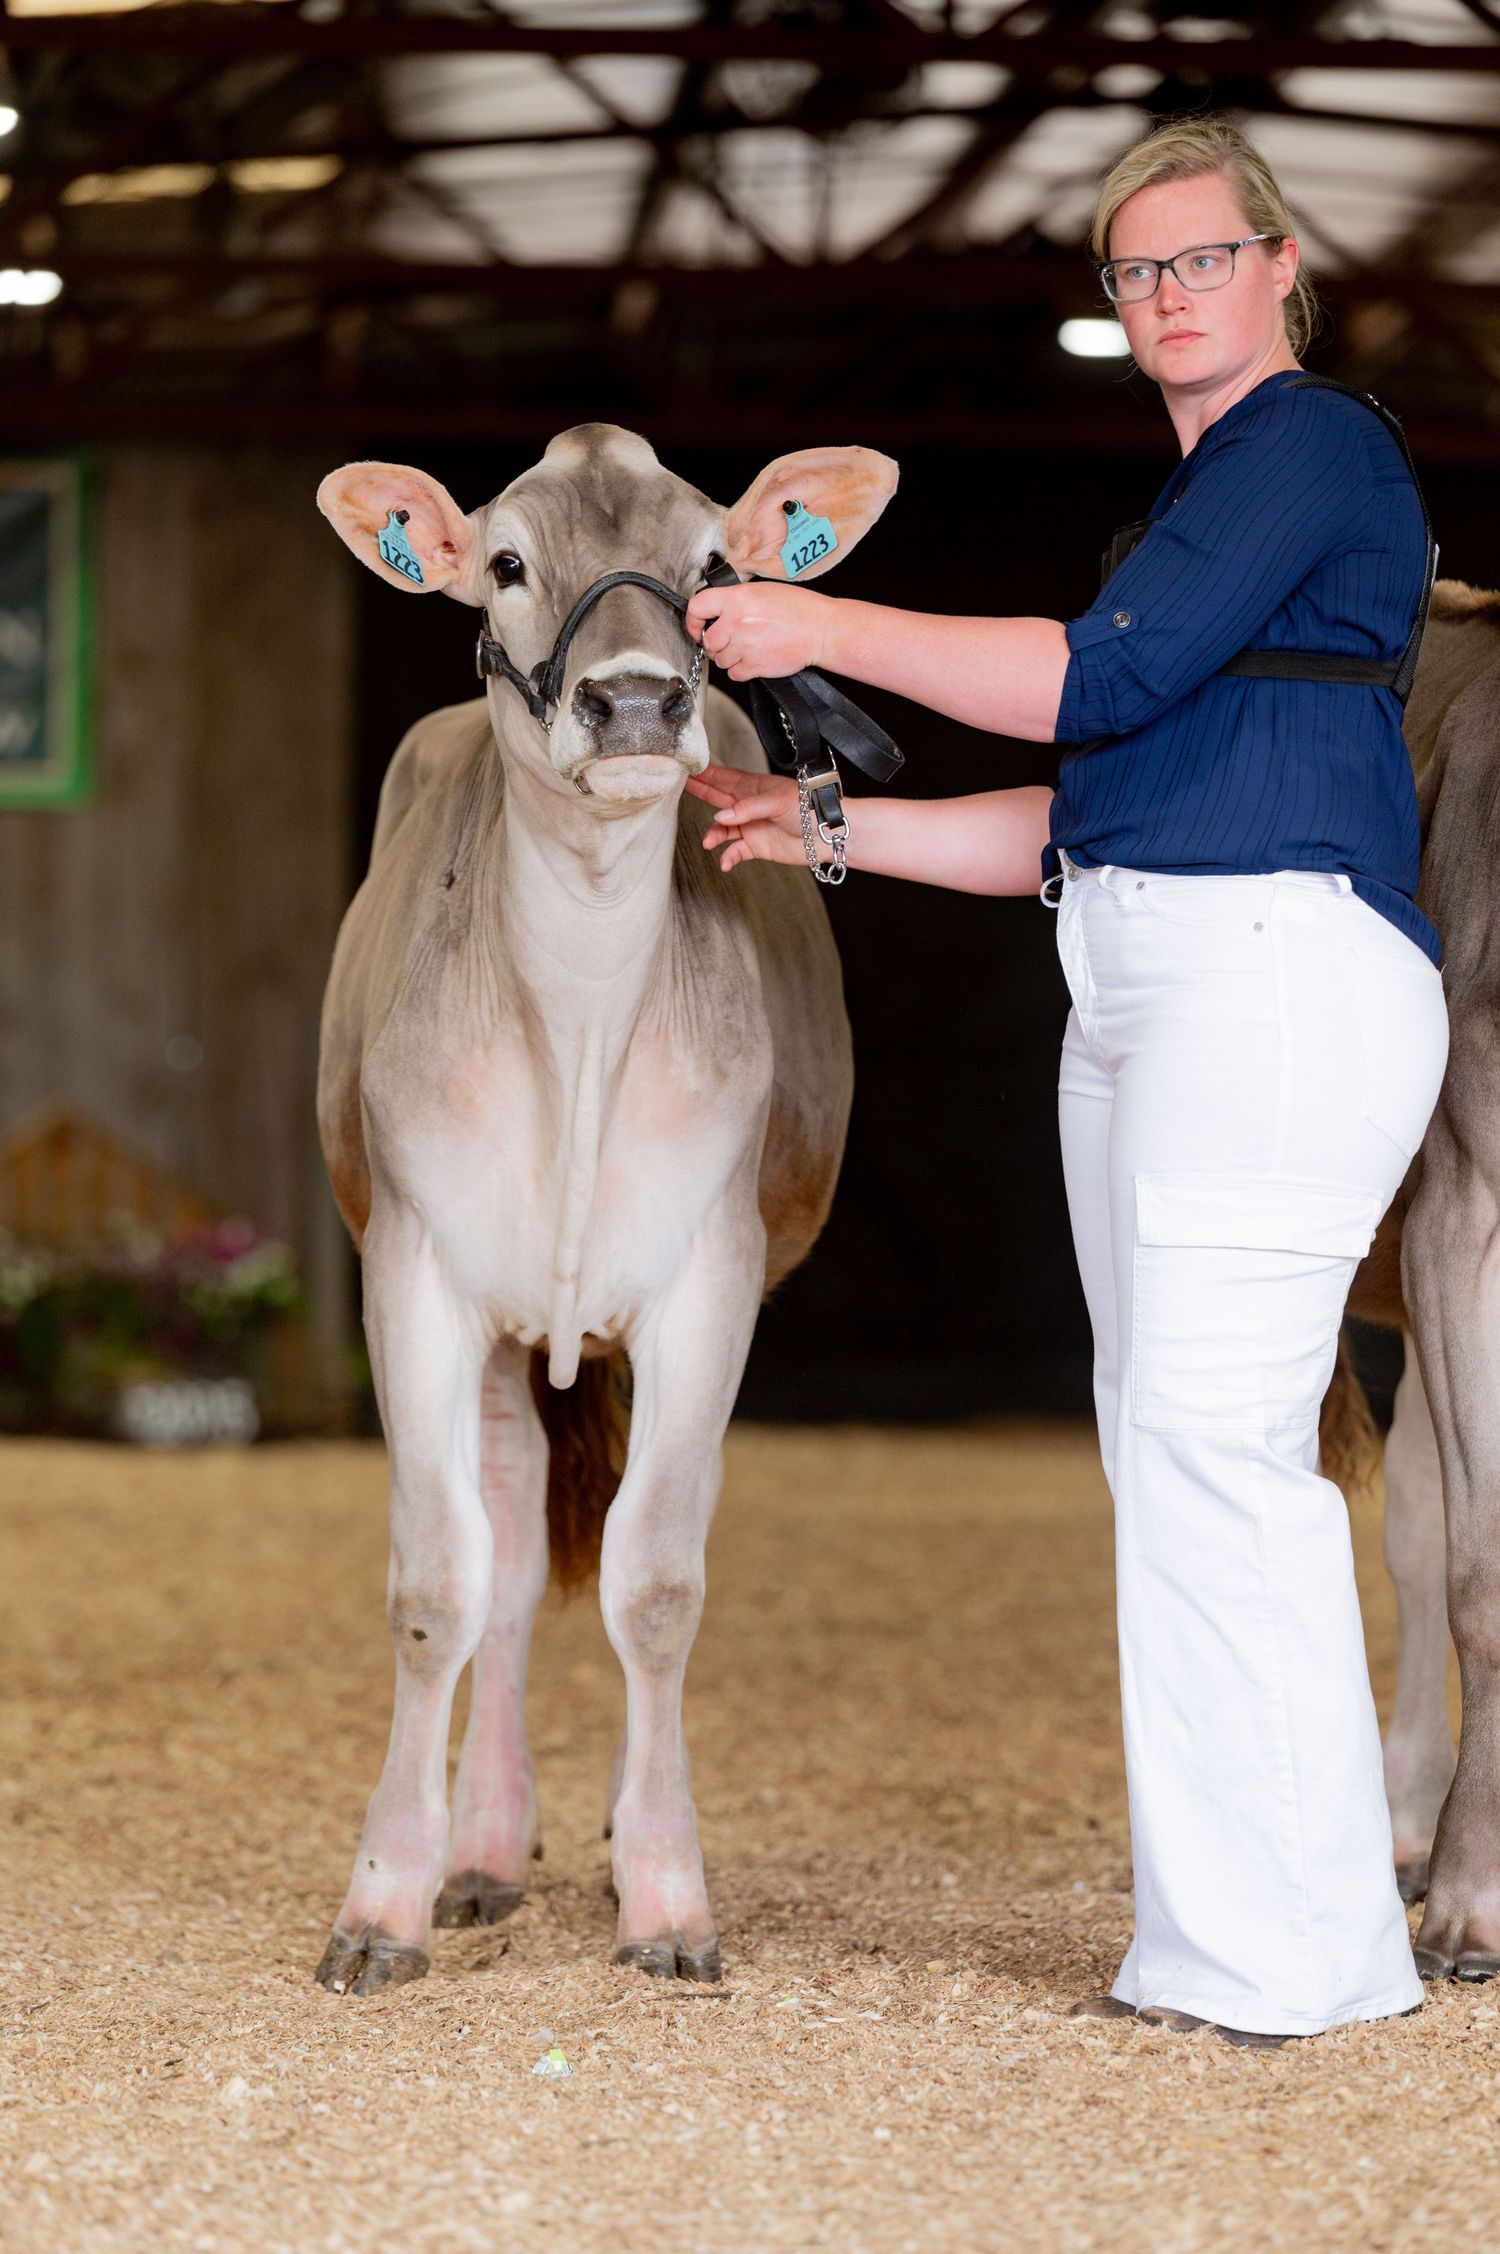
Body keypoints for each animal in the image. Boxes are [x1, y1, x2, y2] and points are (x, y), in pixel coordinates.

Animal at [311, 425, 895, 1994]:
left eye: (711, 563)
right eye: (508, 560)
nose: (634, 697)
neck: (574, 1020)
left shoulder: (711, 1280)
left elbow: (657, 1584)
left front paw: (670, 1895)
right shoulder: (416, 1271)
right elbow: (437, 1583)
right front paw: (382, 1900)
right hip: (507, 1330)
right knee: (508, 1557)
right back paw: (484, 1850)